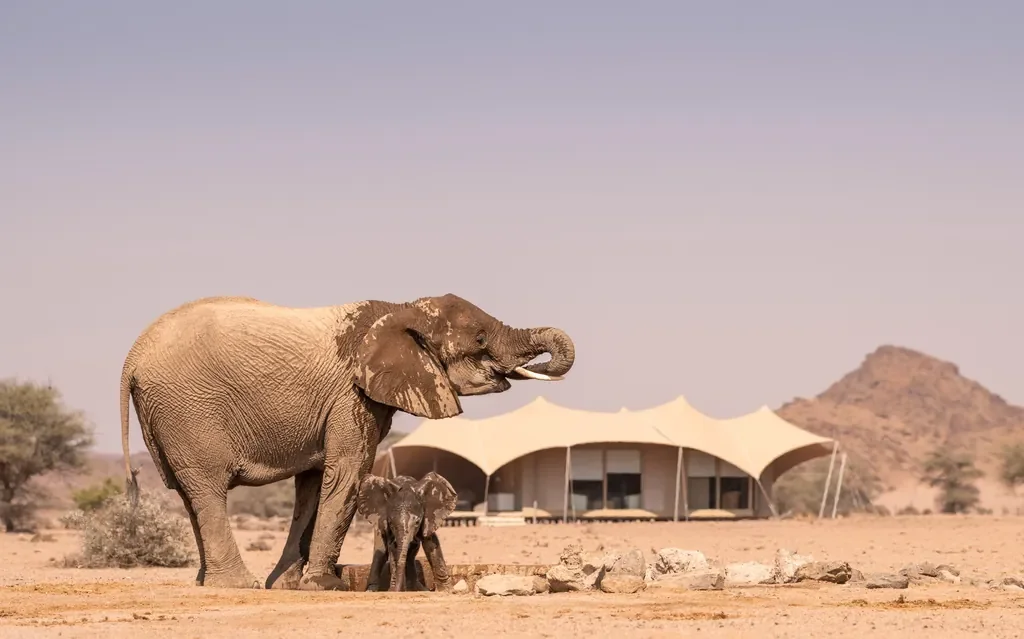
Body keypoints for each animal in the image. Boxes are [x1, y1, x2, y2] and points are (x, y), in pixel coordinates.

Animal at [118, 293, 575, 590]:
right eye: (479, 339)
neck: (400, 310)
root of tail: (132, 358)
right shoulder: (350, 395)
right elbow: (347, 472)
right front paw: (324, 585)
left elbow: (313, 482)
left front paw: (287, 584)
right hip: (188, 410)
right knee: (208, 489)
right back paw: (236, 585)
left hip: (166, 417)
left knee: (187, 493)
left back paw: (207, 581)